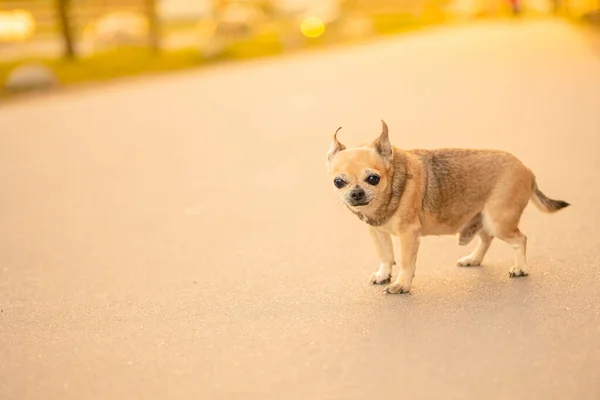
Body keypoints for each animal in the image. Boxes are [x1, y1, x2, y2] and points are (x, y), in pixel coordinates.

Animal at [326, 119, 568, 294]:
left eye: (373, 179)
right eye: (338, 182)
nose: (357, 193)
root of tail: (526, 169)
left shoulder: (408, 235)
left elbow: (404, 262)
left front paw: (402, 284)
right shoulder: (377, 232)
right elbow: (385, 255)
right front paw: (383, 274)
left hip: (499, 221)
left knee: (520, 239)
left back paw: (520, 268)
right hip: (480, 218)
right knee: (486, 238)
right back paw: (473, 259)